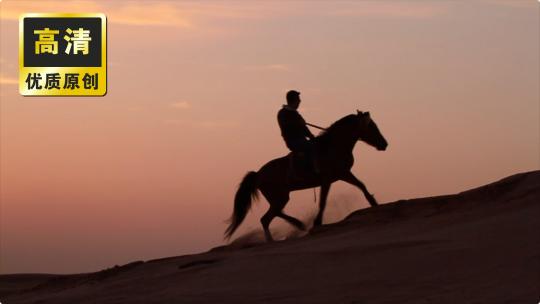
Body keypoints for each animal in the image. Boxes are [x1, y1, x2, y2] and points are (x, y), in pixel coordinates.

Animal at [224, 110, 388, 241]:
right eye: (371, 126)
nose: (384, 144)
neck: (332, 146)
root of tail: (258, 174)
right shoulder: (328, 179)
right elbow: (323, 202)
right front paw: (317, 222)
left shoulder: (343, 174)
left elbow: (361, 185)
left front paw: (373, 202)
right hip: (279, 197)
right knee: (266, 218)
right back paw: (281, 235)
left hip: (280, 197)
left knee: (273, 215)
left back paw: (298, 224)